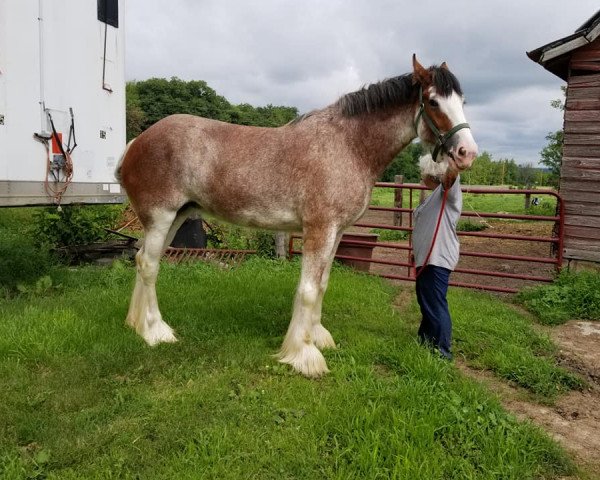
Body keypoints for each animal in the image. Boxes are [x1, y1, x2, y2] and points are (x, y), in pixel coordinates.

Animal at [115, 55, 476, 378]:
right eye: (433, 102)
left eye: (461, 100)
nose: (467, 153)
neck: (347, 145)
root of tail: (136, 143)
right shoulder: (319, 229)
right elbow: (309, 289)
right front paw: (304, 356)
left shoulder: (336, 232)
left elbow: (323, 284)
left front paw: (317, 337)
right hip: (162, 217)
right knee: (149, 266)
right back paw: (156, 331)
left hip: (175, 217)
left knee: (144, 260)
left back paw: (136, 324)